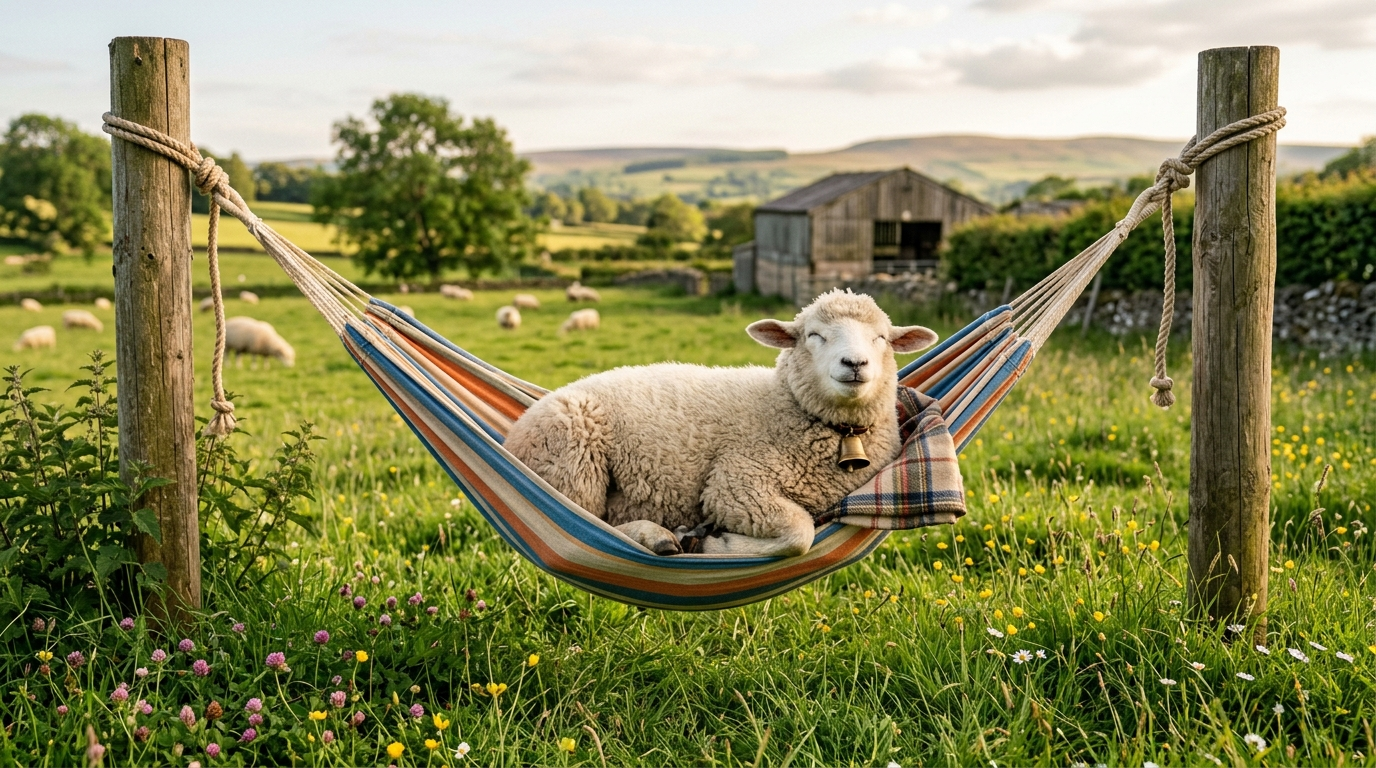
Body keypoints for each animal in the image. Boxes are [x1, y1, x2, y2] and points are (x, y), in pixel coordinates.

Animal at [505, 289, 938, 557]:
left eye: (881, 338)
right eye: (814, 335)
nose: (855, 363)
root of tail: (517, 430)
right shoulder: (735, 484)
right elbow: (800, 534)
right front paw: (715, 544)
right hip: (572, 460)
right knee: (585, 523)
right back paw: (659, 537)